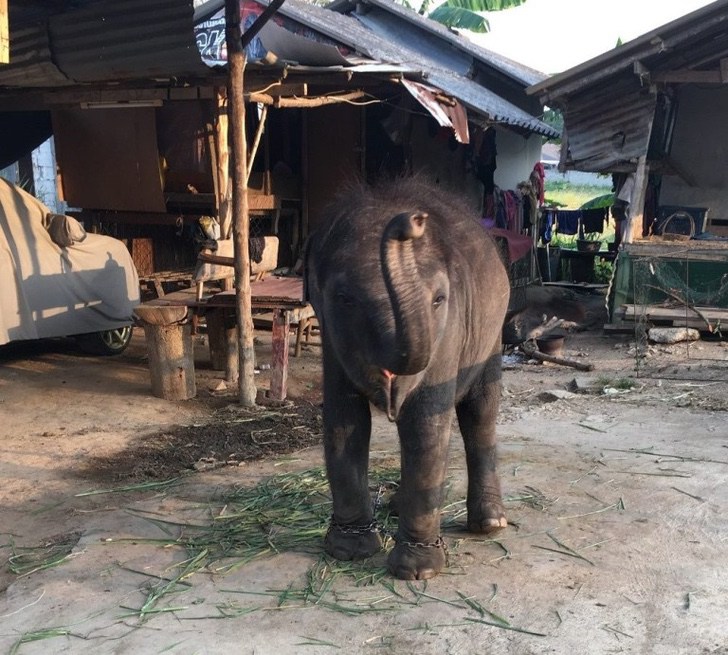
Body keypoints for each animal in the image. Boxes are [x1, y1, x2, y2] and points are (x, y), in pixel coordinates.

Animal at [305, 176, 511, 580]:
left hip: (491, 334)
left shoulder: (449, 331)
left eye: (438, 299)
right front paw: (349, 551)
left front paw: (417, 572)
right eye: (345, 299)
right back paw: (398, 507)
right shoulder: (331, 337)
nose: (414, 221)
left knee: (481, 413)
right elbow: (344, 421)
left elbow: (423, 423)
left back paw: (490, 524)